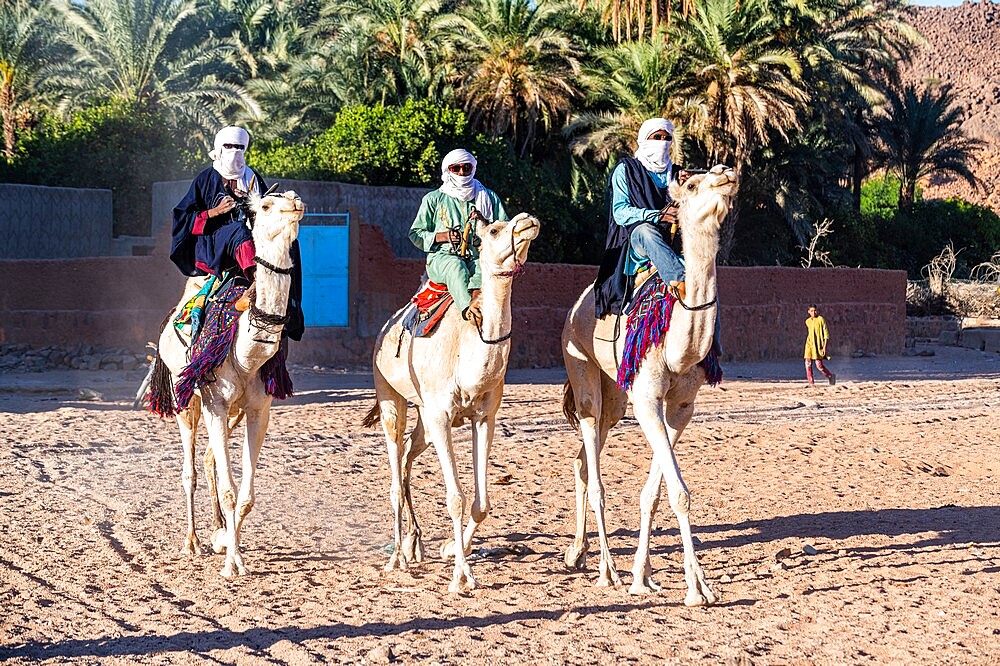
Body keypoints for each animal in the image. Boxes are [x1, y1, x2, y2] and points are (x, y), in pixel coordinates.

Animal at [155, 188, 304, 576]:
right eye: (266, 205)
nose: (295, 202)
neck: (246, 351)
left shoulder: (258, 410)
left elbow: (247, 496)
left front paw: (230, 544)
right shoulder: (215, 404)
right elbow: (229, 490)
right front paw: (232, 564)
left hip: (231, 413)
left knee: (208, 460)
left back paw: (219, 531)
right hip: (186, 399)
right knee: (189, 470)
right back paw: (192, 542)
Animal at [364, 211, 544, 592]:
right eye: (495, 230)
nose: (528, 220)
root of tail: (384, 327)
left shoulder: (483, 417)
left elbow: (481, 503)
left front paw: (450, 549)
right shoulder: (442, 416)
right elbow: (456, 498)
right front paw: (462, 576)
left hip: (423, 416)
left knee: (407, 454)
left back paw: (415, 543)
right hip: (390, 395)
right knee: (394, 465)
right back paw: (396, 557)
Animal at [560, 163, 740, 604]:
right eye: (691, 184)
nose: (726, 171)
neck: (679, 346)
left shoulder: (681, 407)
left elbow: (656, 493)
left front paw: (646, 575)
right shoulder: (646, 398)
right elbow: (679, 493)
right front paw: (696, 589)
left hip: (615, 394)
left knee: (583, 461)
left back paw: (578, 554)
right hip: (582, 370)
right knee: (594, 468)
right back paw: (607, 570)